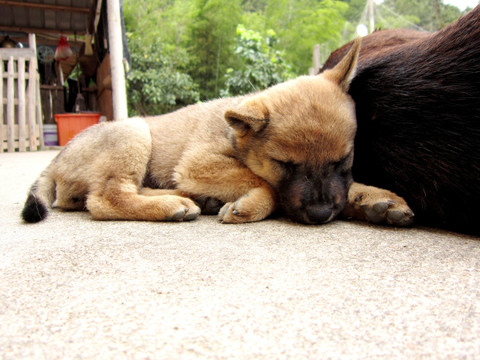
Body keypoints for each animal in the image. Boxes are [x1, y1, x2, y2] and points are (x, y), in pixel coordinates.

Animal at [21, 38, 412, 225]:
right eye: (285, 165)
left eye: (343, 160)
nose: (319, 215)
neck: (235, 137)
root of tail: (55, 162)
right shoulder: (198, 163)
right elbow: (268, 185)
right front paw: (252, 203)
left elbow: (346, 187)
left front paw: (374, 198)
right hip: (133, 133)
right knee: (104, 199)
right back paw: (172, 205)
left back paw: (191, 199)